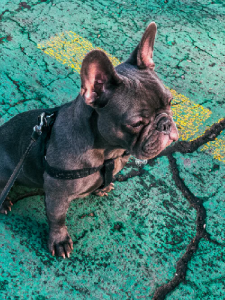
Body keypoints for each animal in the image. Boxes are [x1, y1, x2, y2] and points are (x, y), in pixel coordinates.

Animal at [0, 22, 179, 258]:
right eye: (137, 123)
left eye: (170, 101)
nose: (165, 124)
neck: (108, 151)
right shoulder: (57, 193)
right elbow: (57, 218)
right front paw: (59, 240)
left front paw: (104, 186)